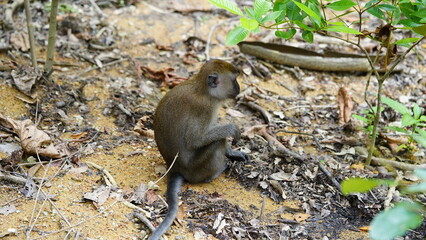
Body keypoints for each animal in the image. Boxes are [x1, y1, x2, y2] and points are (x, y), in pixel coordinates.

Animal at [150, 59, 250, 239]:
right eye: (234, 80)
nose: (239, 88)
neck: (204, 90)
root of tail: (175, 168)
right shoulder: (204, 108)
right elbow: (195, 140)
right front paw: (232, 129)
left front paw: (232, 151)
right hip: (195, 169)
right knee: (217, 143)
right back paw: (213, 174)